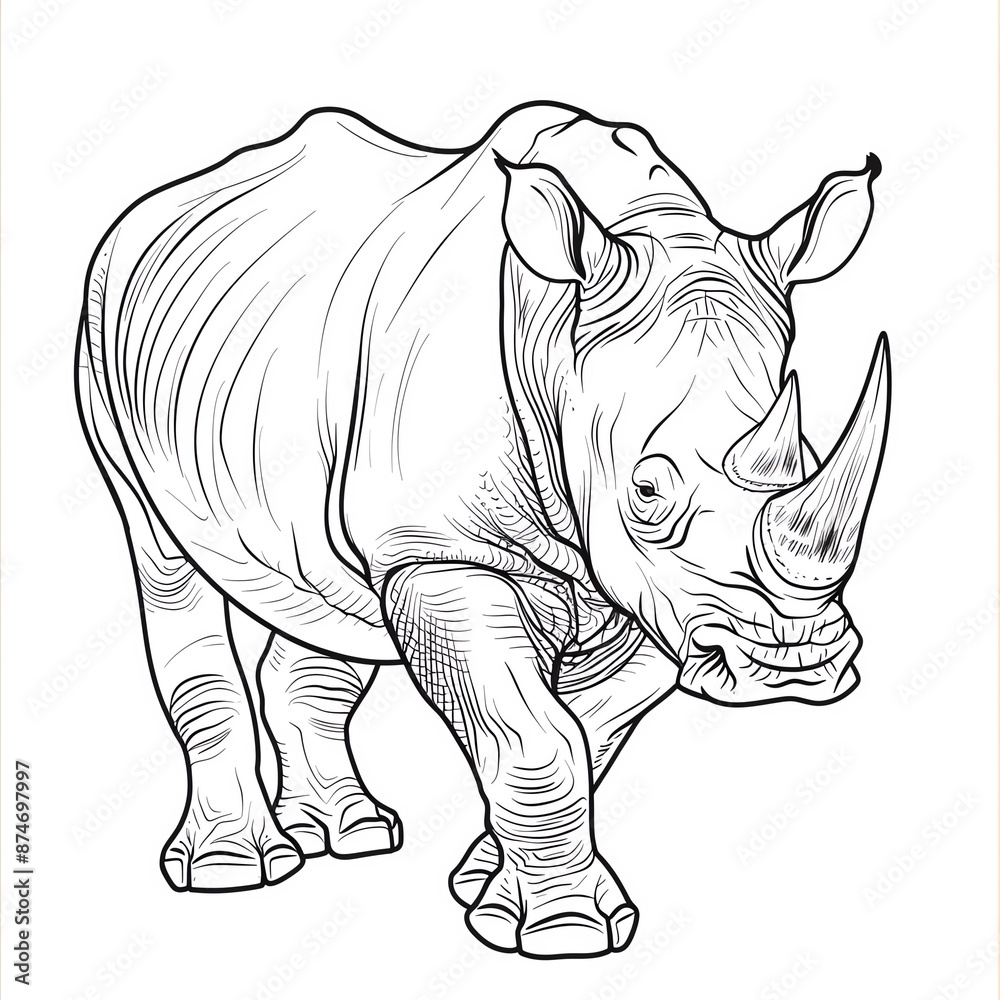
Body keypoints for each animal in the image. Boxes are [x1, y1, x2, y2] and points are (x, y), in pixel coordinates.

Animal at [76, 101, 890, 958]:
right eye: (647, 490)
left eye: (807, 456)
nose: (796, 662)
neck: (555, 339)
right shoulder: (444, 553)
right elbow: (537, 737)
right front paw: (568, 936)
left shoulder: (646, 588)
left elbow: (586, 732)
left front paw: (489, 893)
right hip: (101, 331)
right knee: (165, 563)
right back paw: (235, 870)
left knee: (323, 597)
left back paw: (351, 834)